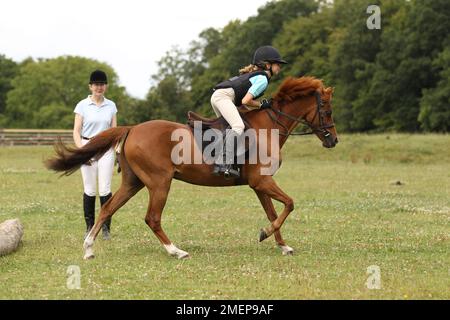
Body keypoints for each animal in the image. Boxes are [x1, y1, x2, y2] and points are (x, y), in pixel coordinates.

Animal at [44, 76, 338, 258]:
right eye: (328, 110)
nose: (333, 140)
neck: (269, 126)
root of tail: (132, 128)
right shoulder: (262, 182)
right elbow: (289, 204)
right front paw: (265, 234)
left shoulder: (259, 185)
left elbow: (273, 212)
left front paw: (281, 245)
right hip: (160, 182)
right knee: (152, 217)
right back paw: (176, 251)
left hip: (133, 182)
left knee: (107, 208)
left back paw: (89, 249)